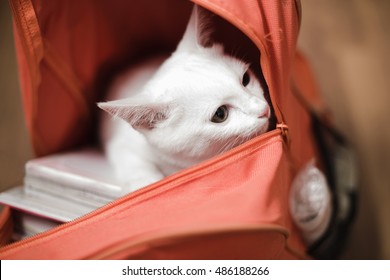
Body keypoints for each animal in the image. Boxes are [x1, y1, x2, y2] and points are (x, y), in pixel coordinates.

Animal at [97, 6, 270, 195]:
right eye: (220, 114)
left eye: (245, 79)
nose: (264, 109)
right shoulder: (121, 144)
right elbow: (131, 161)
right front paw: (145, 183)